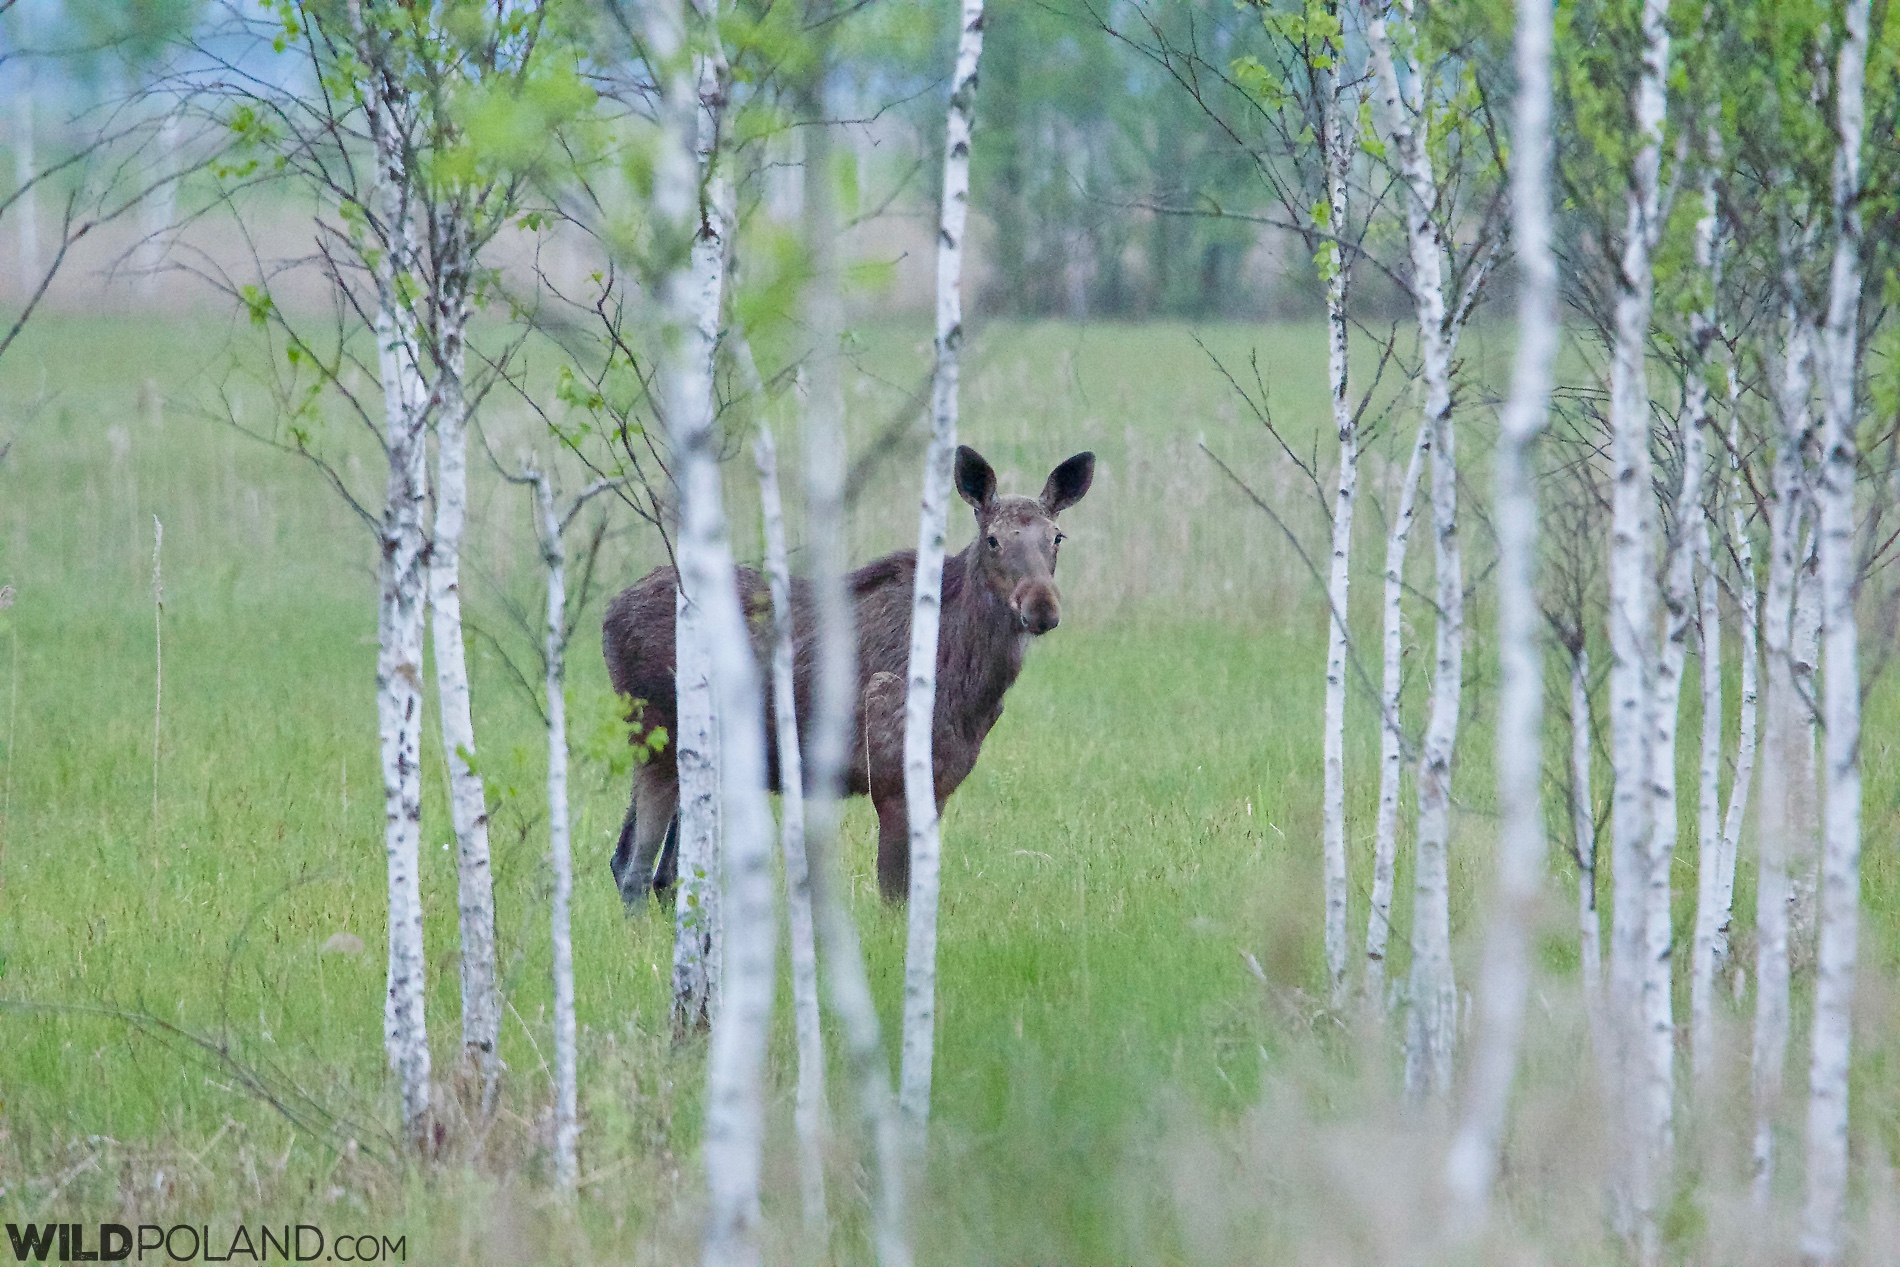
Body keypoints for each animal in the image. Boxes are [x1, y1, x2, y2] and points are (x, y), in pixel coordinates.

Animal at [600, 446, 1094, 900]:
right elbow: (894, 896)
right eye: (993, 539)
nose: (1042, 607)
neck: (974, 687)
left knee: (646, 868)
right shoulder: (892, 780)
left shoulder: (941, 784)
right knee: (636, 869)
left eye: (1057, 537)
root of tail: (608, 613)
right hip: (657, 741)